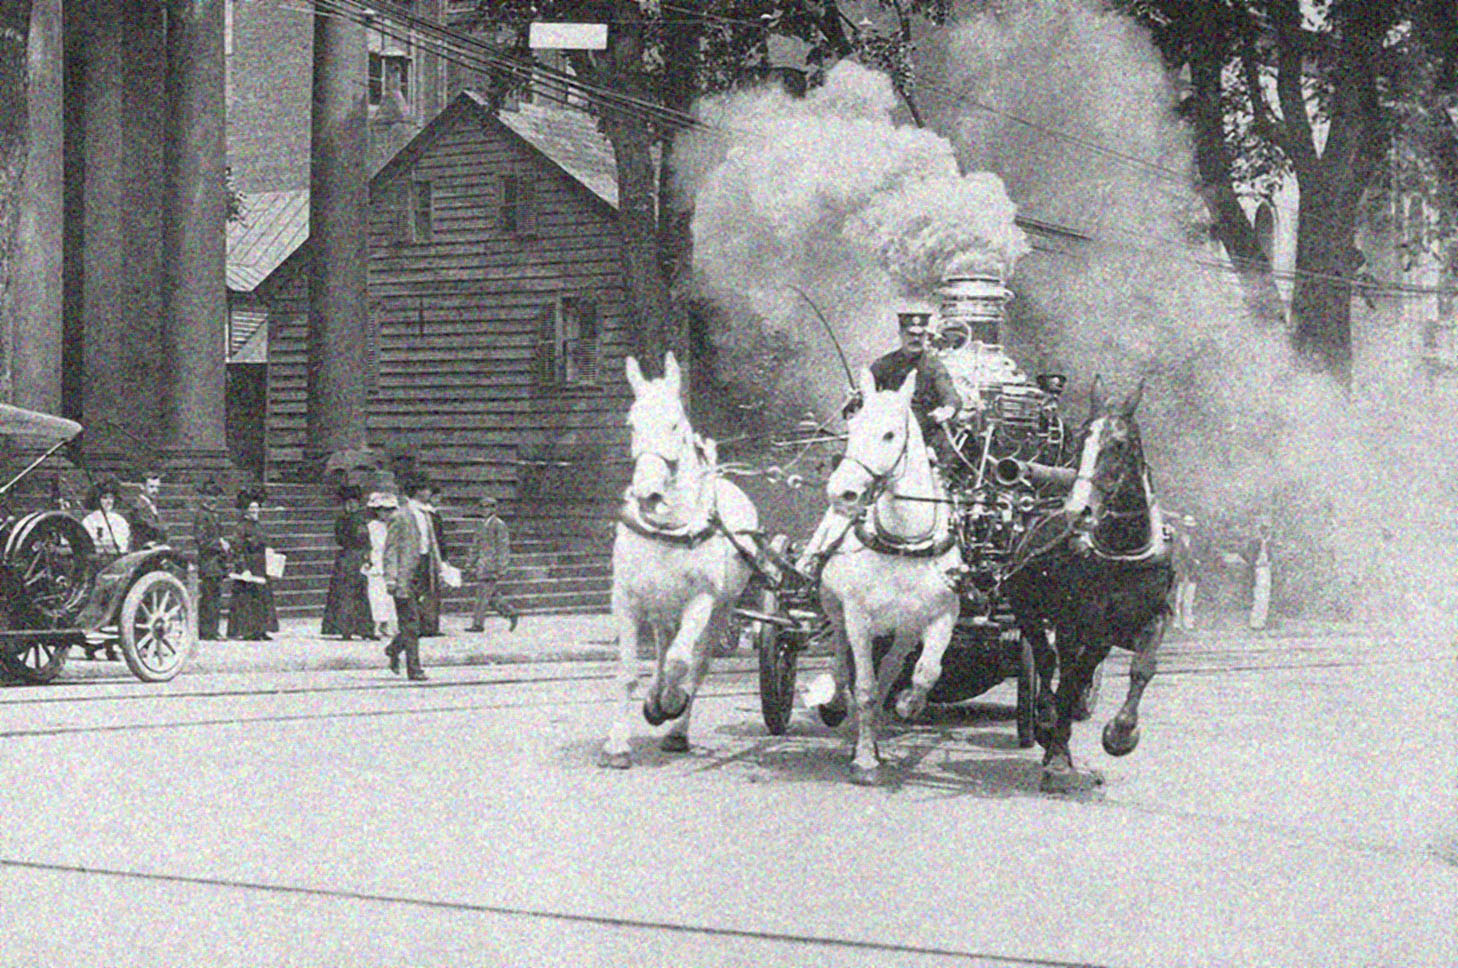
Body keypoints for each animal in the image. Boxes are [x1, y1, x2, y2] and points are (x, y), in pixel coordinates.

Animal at [597, 351, 758, 769]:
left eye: (675, 423)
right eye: (631, 423)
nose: (648, 494)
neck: (668, 529)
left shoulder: (701, 600)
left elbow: (682, 663)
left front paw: (671, 703)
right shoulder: (627, 600)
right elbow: (629, 672)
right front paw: (618, 744)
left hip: (722, 608)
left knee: (696, 662)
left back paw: (676, 728)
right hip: (660, 608)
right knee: (663, 646)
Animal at [828, 367, 962, 781]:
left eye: (889, 434)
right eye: (852, 426)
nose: (841, 493)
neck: (905, 542)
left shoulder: (942, 615)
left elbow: (926, 671)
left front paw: (908, 704)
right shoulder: (857, 618)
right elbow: (866, 688)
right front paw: (864, 759)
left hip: (904, 630)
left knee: (892, 666)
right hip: (834, 608)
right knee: (840, 656)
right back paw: (839, 705)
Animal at [1003, 379, 1172, 793]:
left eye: (1120, 444)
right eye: (1080, 443)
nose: (1080, 510)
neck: (1123, 552)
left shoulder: (1154, 615)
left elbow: (1143, 668)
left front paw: (1121, 734)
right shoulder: (1080, 621)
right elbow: (1067, 676)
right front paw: (1058, 755)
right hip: (1029, 611)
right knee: (1047, 660)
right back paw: (1047, 723)